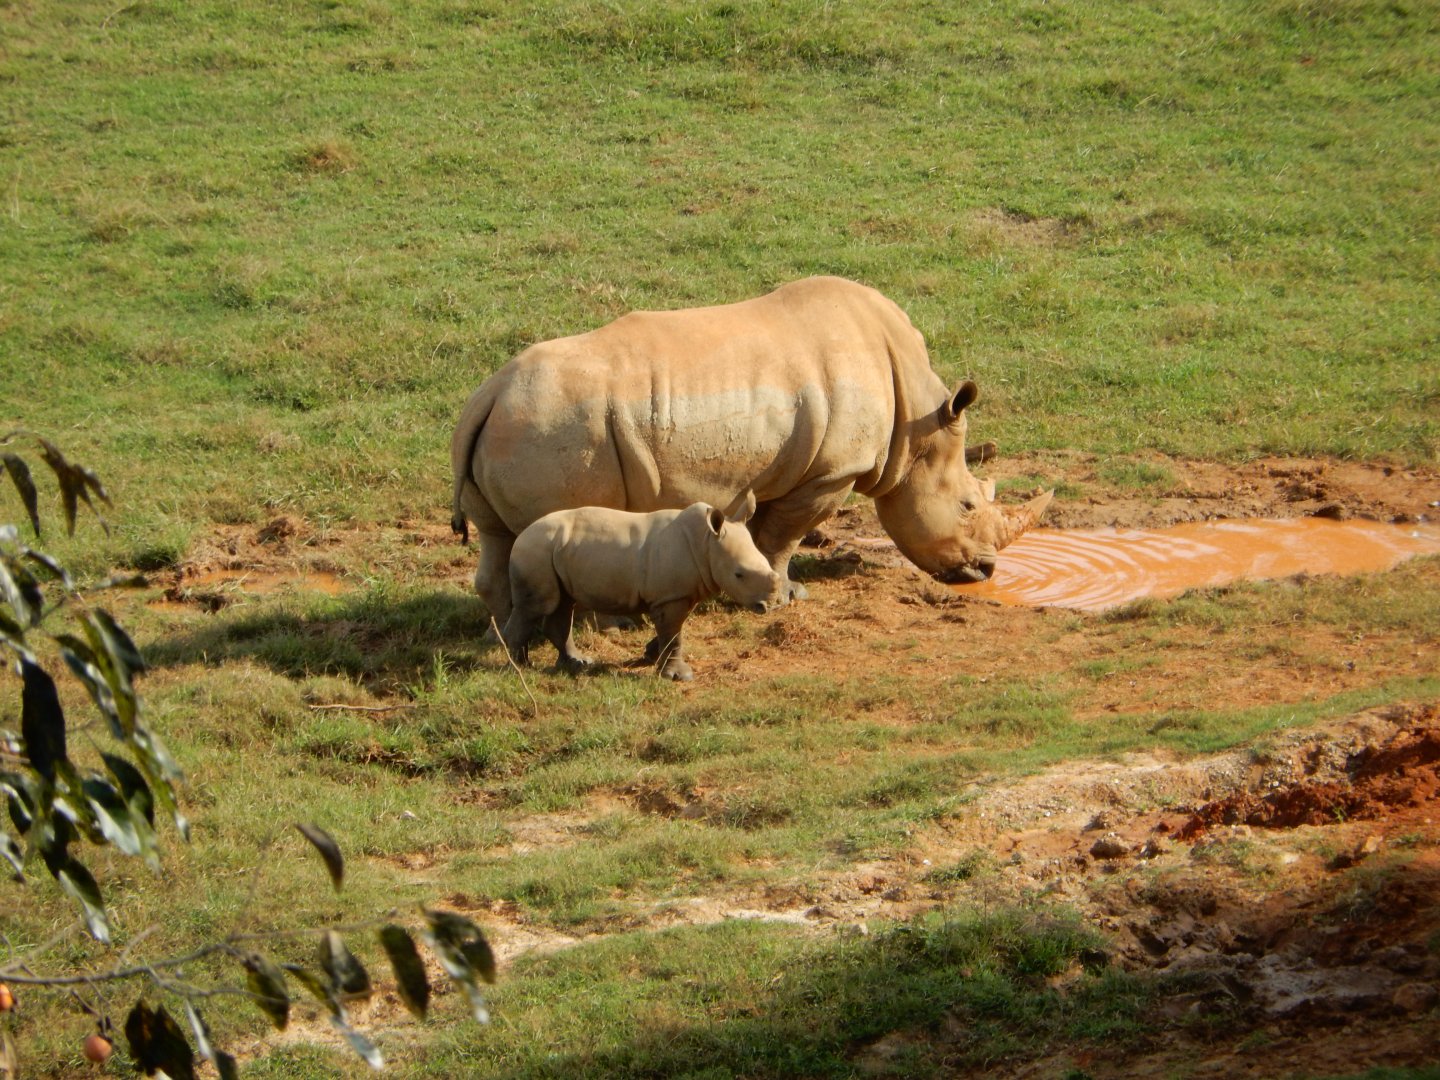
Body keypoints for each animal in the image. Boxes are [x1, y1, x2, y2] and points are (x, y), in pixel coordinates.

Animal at [452, 276, 1051, 627]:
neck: (915, 423)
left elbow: (764, 533)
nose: (985, 570)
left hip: (512, 428)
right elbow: (782, 537)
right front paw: (785, 598)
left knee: (499, 539)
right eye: (967, 507)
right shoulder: (832, 472)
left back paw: (506, 637)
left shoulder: (781, 467)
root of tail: (489, 395)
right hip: (555, 430)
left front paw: (766, 590)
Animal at [501, 495, 782, 681]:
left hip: (555, 550)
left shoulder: (678, 593)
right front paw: (678, 676)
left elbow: (672, 631)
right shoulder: (671, 596)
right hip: (536, 549)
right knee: (536, 606)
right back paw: (520, 668)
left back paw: (576, 663)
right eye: (739, 575)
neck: (706, 543)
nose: (767, 605)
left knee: (562, 603)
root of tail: (520, 535)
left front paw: (651, 655)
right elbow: (674, 634)